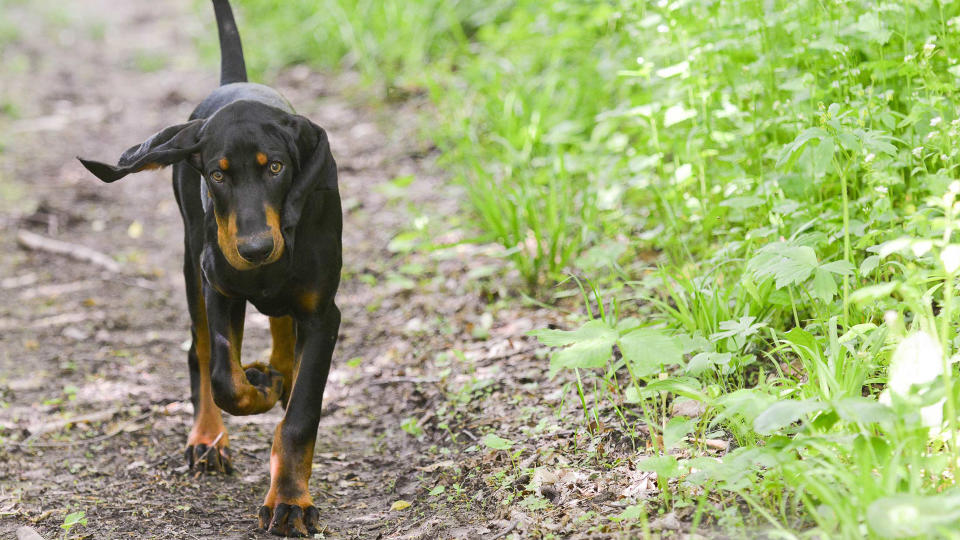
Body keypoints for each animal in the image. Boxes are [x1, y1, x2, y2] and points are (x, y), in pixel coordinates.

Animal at [79, 1, 342, 536]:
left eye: (277, 167)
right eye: (217, 175)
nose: (256, 249)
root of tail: (234, 81)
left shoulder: (323, 314)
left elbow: (301, 415)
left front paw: (290, 502)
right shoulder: (218, 286)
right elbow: (225, 378)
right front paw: (259, 388)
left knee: (281, 329)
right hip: (191, 265)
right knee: (199, 351)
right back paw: (209, 436)